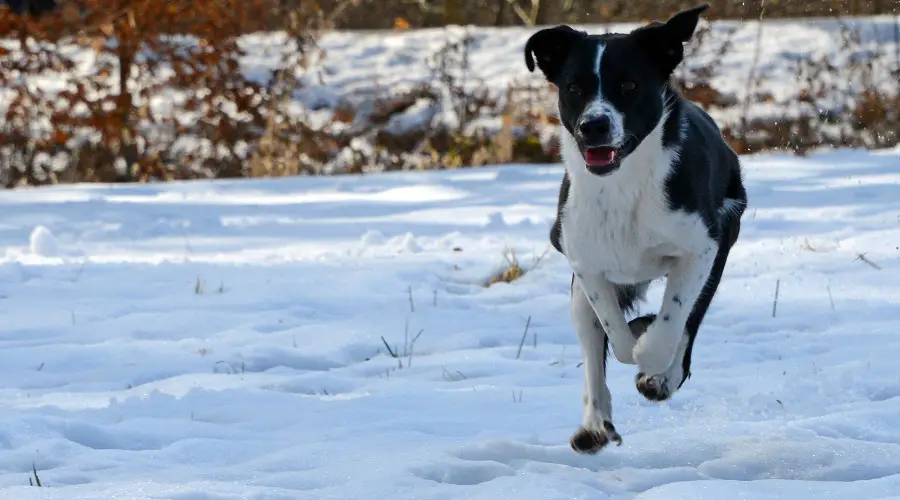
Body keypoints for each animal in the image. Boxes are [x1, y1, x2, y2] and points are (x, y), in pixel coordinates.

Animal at [520, 3, 744, 456]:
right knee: (593, 350)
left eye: (628, 84)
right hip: (579, 292)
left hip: (723, 238)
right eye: (574, 87)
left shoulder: (700, 248)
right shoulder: (585, 262)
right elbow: (616, 337)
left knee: (689, 322)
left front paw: (654, 362)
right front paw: (634, 339)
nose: (594, 126)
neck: (623, 185)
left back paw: (662, 375)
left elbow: (671, 323)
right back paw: (594, 425)